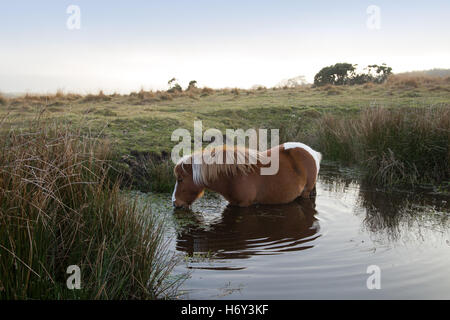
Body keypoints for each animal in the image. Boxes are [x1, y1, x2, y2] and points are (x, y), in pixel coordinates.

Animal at [171, 142, 322, 208]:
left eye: (180, 179)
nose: (174, 203)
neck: (232, 176)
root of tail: (312, 152)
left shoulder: (245, 204)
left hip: (305, 192)